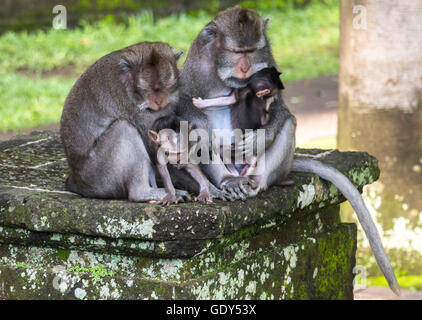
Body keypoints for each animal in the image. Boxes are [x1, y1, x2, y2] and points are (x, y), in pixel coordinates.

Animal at [59, 40, 191, 202]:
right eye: (144, 88)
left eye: (167, 86)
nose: (158, 102)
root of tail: (78, 182)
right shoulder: (133, 107)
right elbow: (156, 146)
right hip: (100, 175)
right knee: (124, 128)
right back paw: (145, 192)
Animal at [176, 6, 400, 292]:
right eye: (237, 52)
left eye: (252, 51)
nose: (245, 67)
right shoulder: (196, 64)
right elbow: (185, 109)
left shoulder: (267, 58)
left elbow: (281, 109)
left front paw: (261, 137)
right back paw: (227, 179)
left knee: (289, 123)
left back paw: (257, 182)